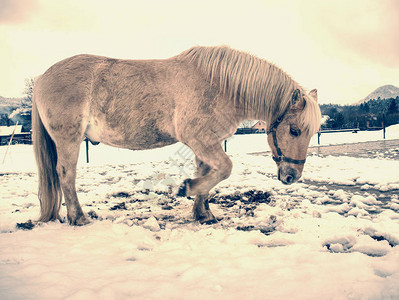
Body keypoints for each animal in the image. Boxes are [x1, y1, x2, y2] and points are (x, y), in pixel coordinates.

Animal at [32, 45, 322, 225]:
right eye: (294, 130)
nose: (292, 176)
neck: (220, 86)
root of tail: (42, 77)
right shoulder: (200, 140)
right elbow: (224, 169)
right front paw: (187, 188)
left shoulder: (207, 143)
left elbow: (208, 172)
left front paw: (203, 213)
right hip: (69, 140)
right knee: (66, 174)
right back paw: (78, 218)